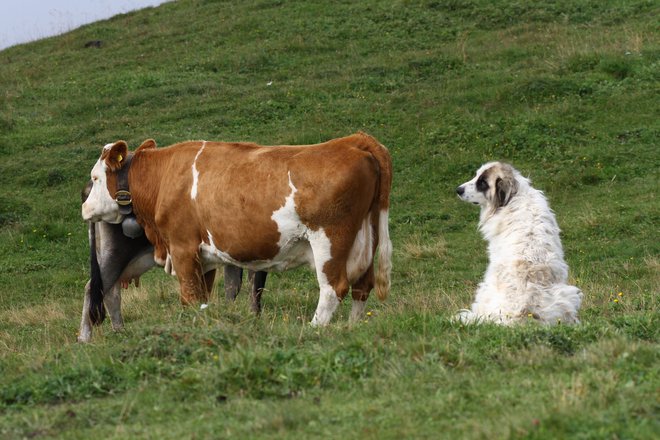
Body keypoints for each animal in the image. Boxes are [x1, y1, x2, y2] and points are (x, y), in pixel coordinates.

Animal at [82, 132, 392, 324]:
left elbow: (190, 297)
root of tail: (354, 141)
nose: (84, 207)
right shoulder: (204, 257)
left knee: (333, 288)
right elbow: (201, 297)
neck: (163, 177)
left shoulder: (182, 248)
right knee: (362, 286)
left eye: (95, 177)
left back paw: (315, 329)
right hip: (367, 235)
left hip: (330, 239)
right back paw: (351, 328)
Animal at [456, 163, 580, 324]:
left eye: (482, 183)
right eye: (476, 175)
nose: (458, 190)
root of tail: (524, 311)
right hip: (569, 295)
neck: (515, 196)